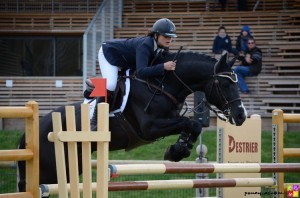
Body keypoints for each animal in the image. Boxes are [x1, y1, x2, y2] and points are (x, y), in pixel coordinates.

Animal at [17, 50, 246, 192]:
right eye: (225, 84)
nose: (241, 116)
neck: (162, 85)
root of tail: (31, 134)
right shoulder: (150, 128)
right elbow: (191, 123)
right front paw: (177, 151)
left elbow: (193, 125)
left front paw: (179, 149)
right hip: (50, 171)